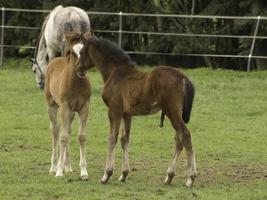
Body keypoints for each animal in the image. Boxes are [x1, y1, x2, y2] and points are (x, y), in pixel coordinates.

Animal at [45, 32, 91, 180]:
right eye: (72, 52)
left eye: (85, 51)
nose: (81, 69)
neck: (76, 84)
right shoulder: (65, 107)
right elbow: (63, 137)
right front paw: (59, 171)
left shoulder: (84, 108)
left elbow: (81, 136)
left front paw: (84, 172)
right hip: (52, 105)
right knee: (55, 131)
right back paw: (53, 168)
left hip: (71, 112)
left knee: (69, 130)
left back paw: (68, 167)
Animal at [78, 34, 198, 186]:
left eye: (81, 52)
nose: (78, 69)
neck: (115, 73)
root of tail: (183, 77)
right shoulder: (127, 114)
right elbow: (124, 139)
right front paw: (123, 174)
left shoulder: (114, 111)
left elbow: (112, 138)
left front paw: (106, 175)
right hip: (176, 113)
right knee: (179, 139)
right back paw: (169, 176)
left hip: (172, 111)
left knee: (185, 135)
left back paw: (190, 178)